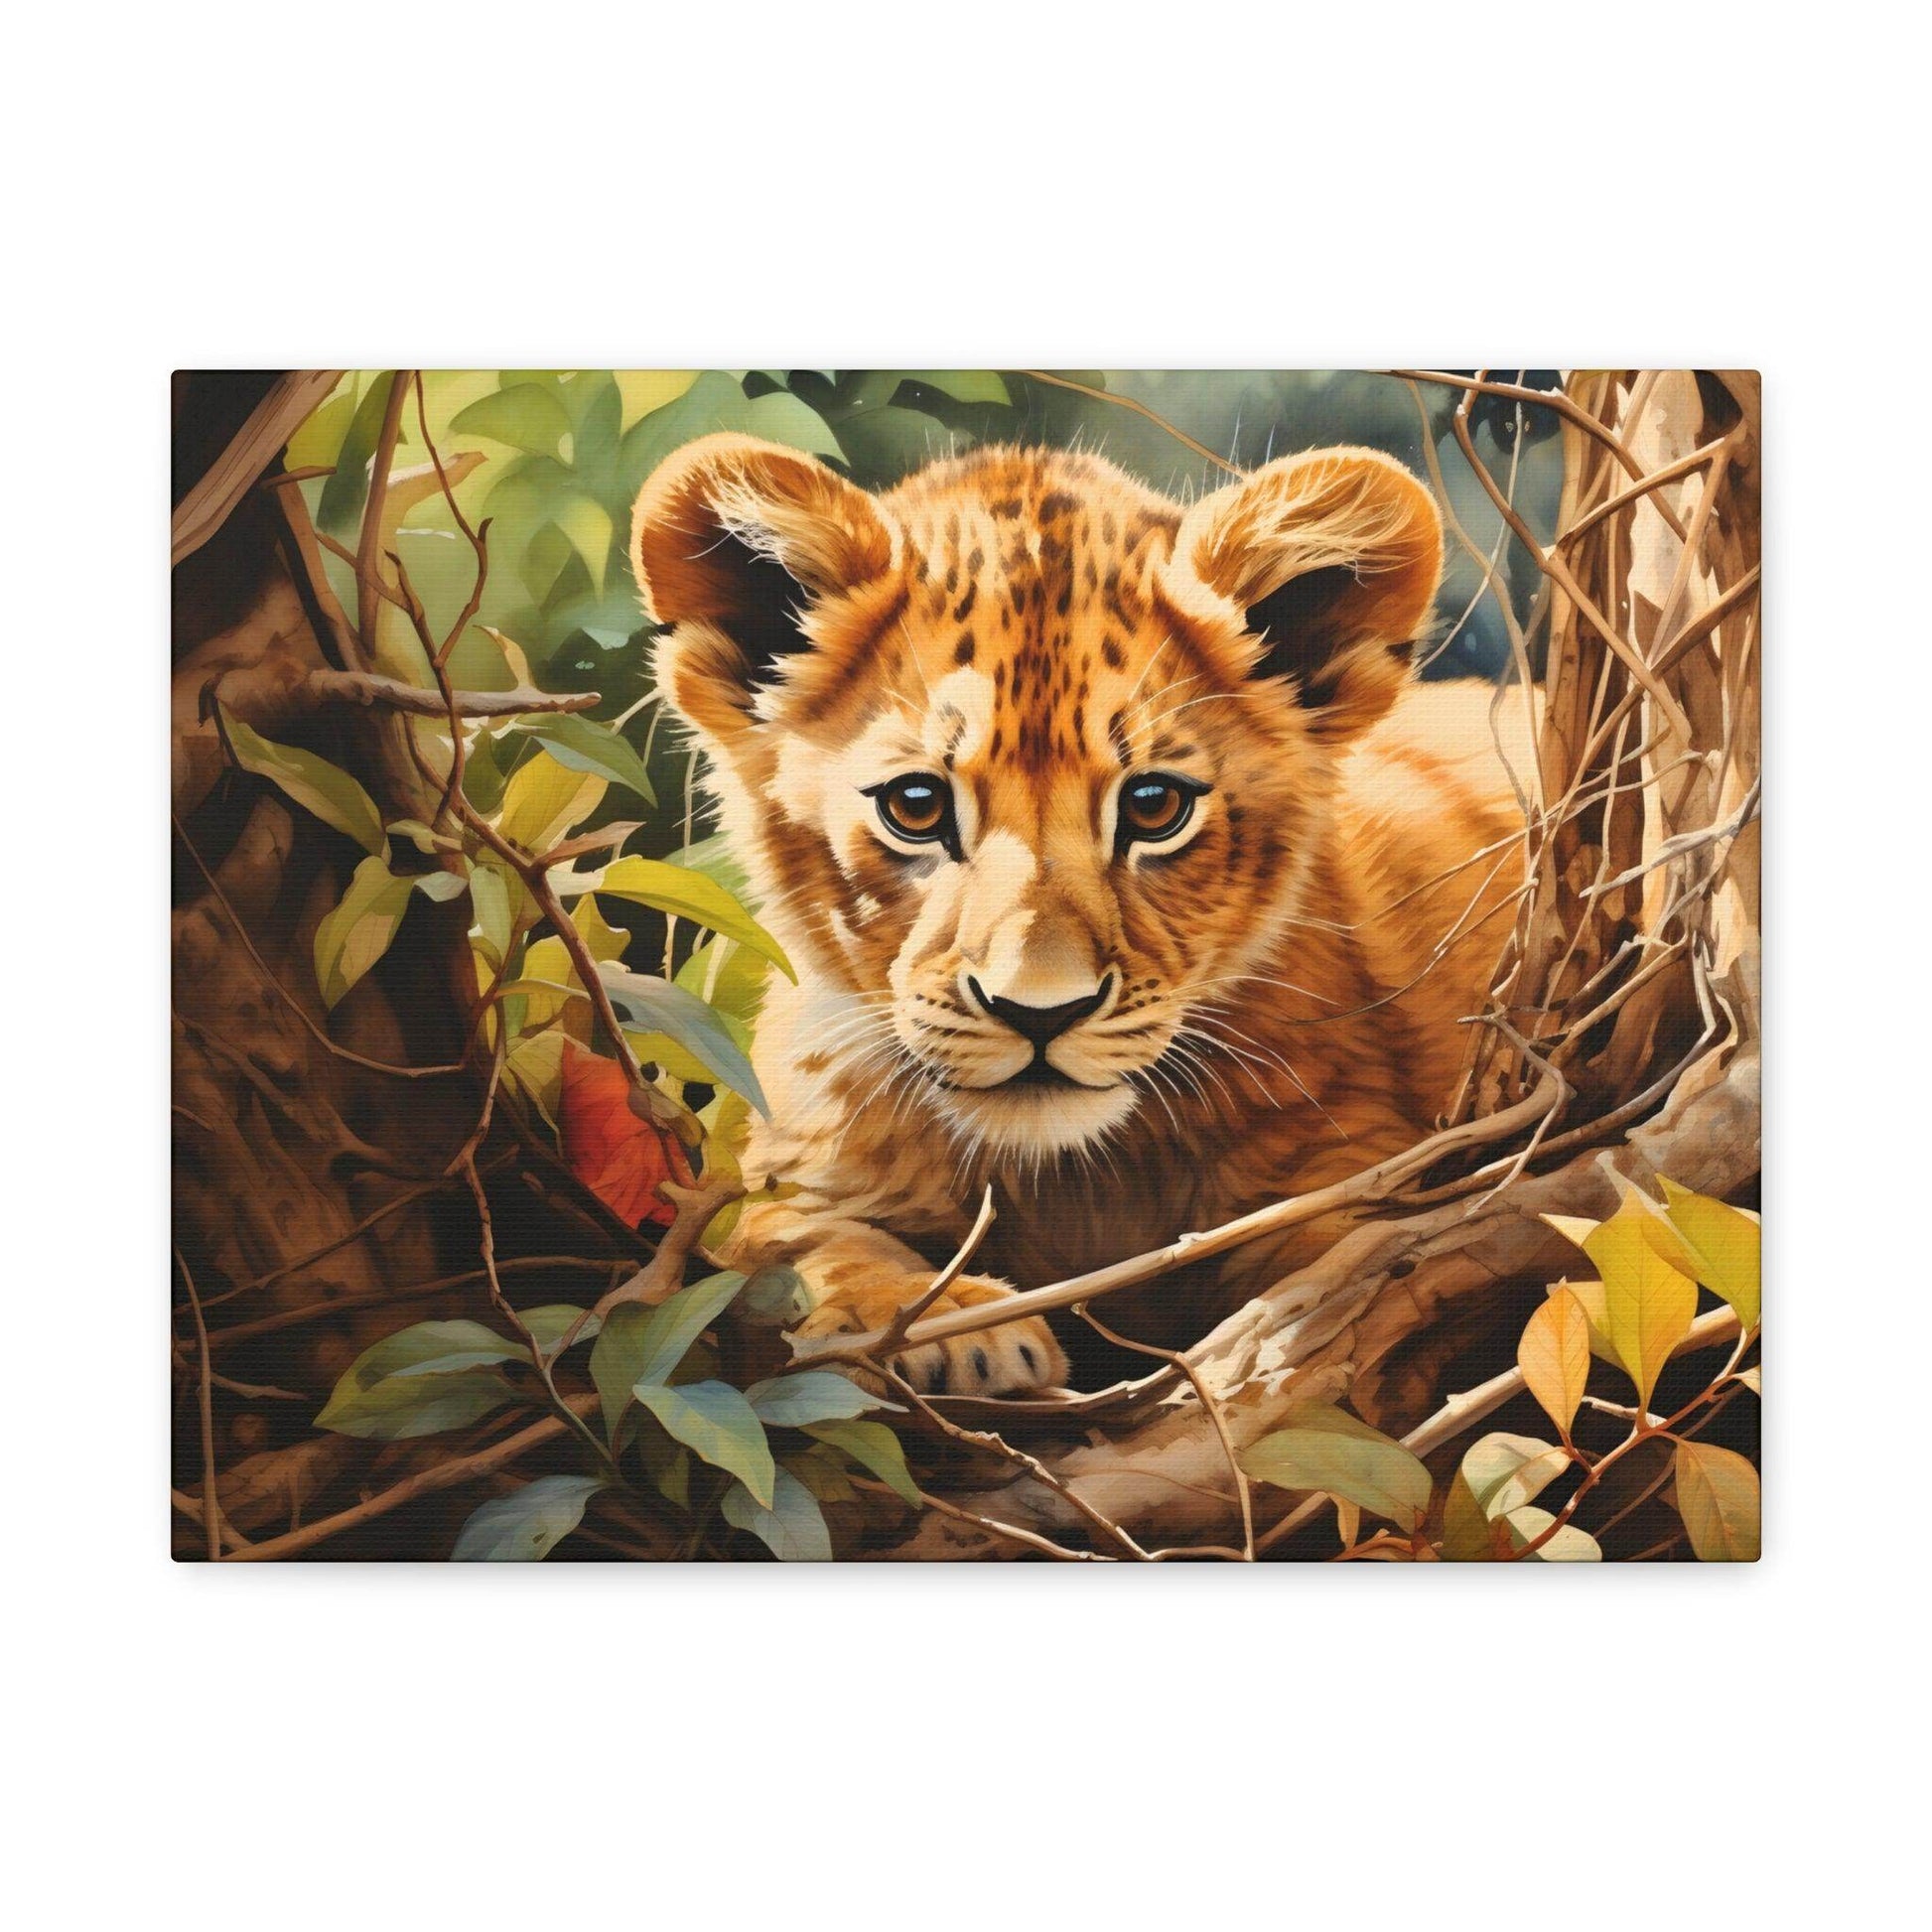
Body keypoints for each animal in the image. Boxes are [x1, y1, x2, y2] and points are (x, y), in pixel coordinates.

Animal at [631, 432, 1533, 1393]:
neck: (1071, 1182)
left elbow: (1362, 1257)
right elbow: (790, 1239)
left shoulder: (1356, 1162)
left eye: (1154, 806)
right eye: (915, 804)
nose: (1039, 1012)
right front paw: (942, 1325)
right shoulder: (786, 1176)